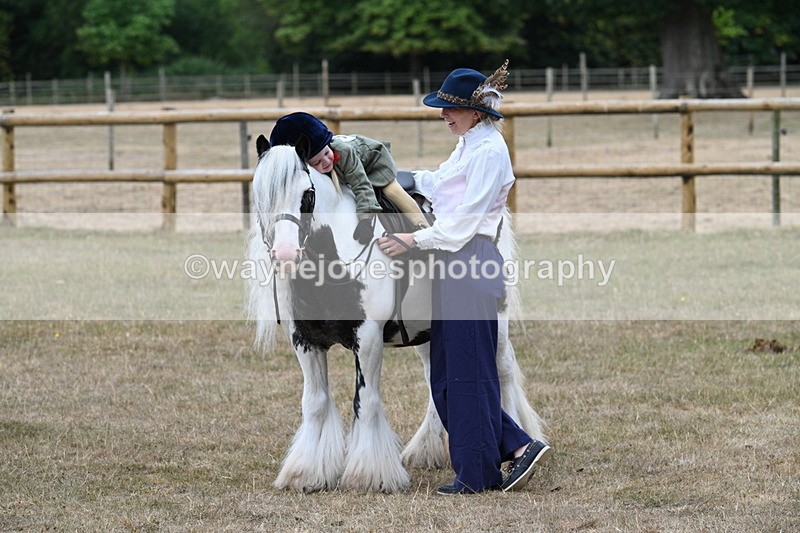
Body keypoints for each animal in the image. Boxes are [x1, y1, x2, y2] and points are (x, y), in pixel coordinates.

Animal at [246, 135, 545, 493]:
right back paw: (428, 450)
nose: (285, 253)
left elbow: (366, 402)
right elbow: (315, 403)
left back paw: (516, 455)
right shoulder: (305, 341)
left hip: (495, 322)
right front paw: (305, 473)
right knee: (436, 379)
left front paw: (368, 474)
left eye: (307, 194)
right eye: (260, 194)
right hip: (426, 332)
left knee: (504, 371)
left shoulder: (368, 338)